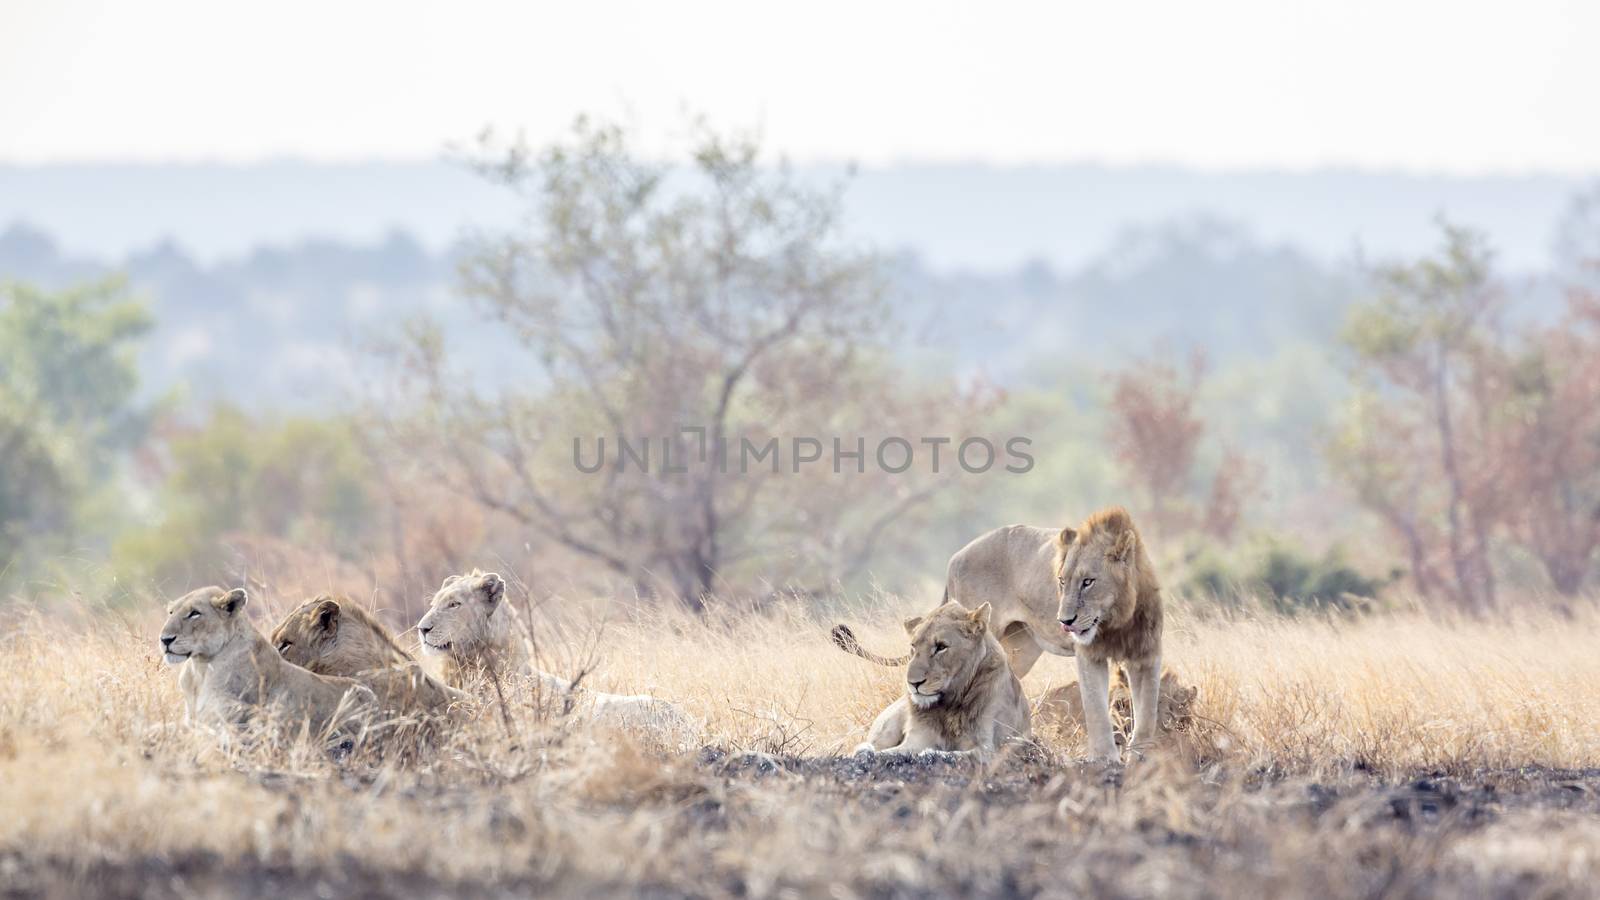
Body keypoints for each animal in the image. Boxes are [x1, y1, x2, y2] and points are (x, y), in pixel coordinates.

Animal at [160, 582, 377, 736]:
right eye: (170, 612)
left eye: (194, 613)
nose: (165, 639)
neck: (200, 668)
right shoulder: (192, 719)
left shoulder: (224, 722)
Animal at [857, 595, 1030, 755]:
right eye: (913, 646)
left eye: (941, 647)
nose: (913, 683)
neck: (950, 705)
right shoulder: (917, 739)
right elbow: (888, 753)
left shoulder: (987, 747)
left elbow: (954, 754)